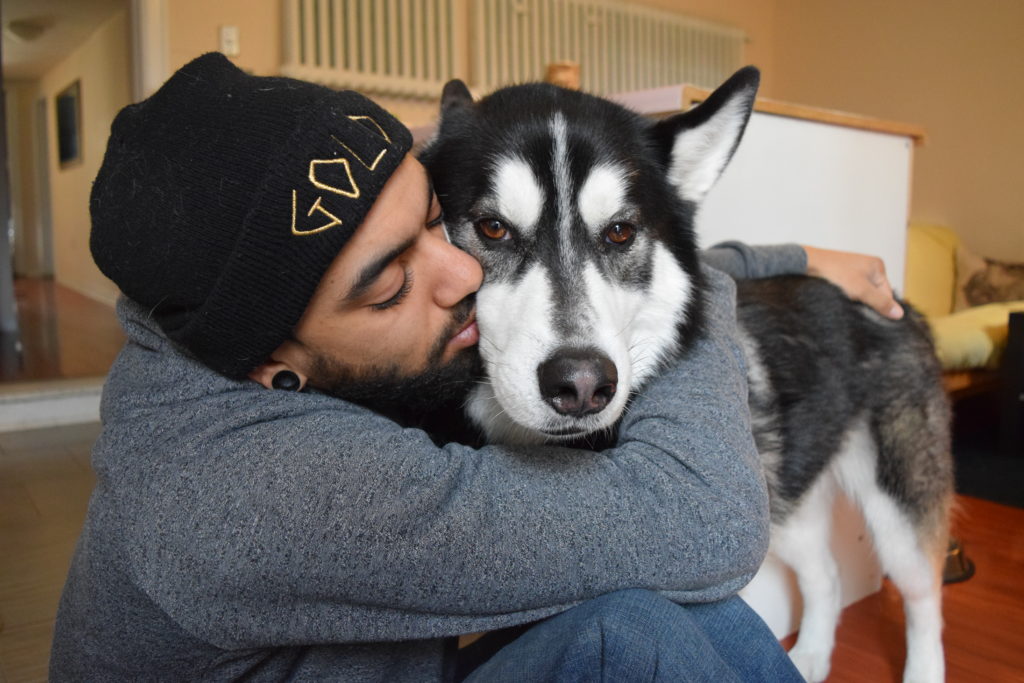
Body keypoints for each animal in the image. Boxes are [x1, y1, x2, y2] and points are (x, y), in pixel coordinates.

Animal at [417, 65, 950, 683]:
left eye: (620, 232)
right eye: (492, 228)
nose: (582, 385)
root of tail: (897, 301)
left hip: (893, 507)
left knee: (923, 596)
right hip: (779, 503)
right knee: (827, 576)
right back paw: (812, 657)